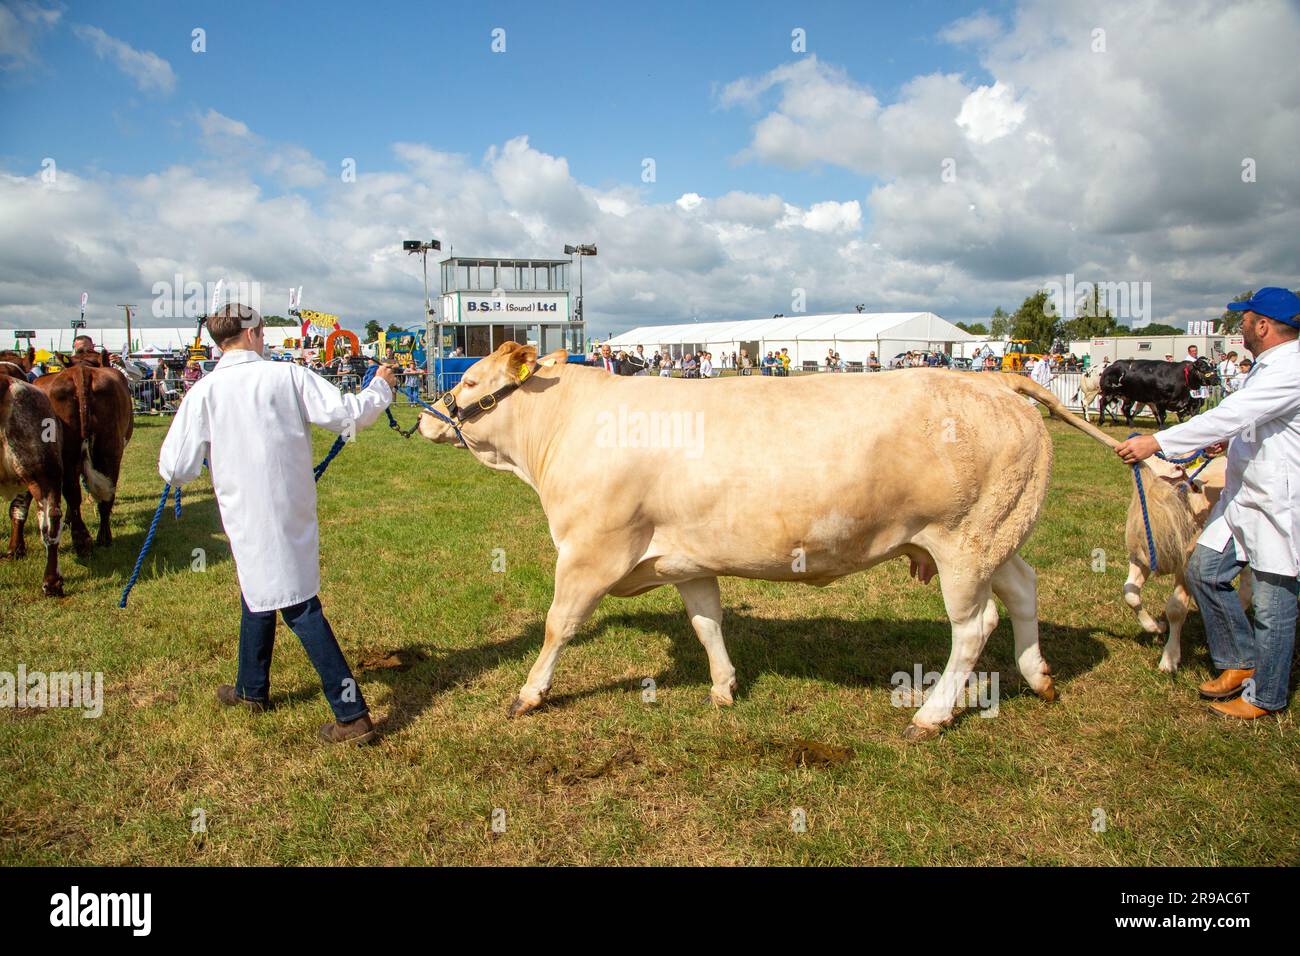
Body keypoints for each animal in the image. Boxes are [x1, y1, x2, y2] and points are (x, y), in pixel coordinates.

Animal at [0, 348, 64, 595]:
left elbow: (17, 510)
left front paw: (15, 549)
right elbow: (17, 511)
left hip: (42, 475)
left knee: (49, 520)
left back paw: (51, 581)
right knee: (51, 519)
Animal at [416, 343, 1118, 738]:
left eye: (471, 381)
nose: (427, 417)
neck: (565, 427)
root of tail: (994, 379)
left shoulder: (591, 549)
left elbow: (557, 626)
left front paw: (529, 694)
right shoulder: (687, 556)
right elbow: (707, 623)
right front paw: (724, 686)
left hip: (965, 544)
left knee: (974, 626)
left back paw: (931, 714)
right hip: (1000, 536)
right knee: (1024, 591)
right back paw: (1038, 676)